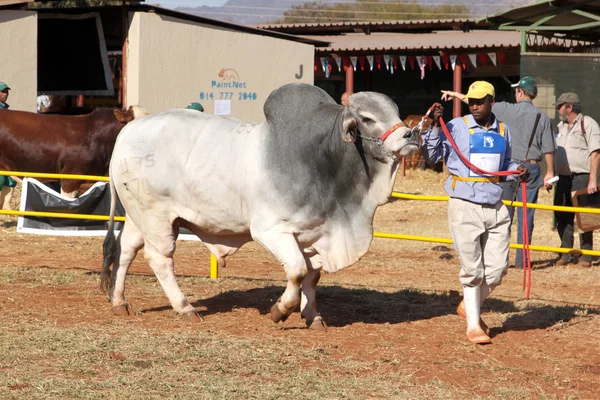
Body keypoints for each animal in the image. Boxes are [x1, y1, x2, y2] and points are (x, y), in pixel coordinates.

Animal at [101, 83, 420, 330]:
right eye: (367, 118)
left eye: (395, 111)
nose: (410, 135)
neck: (320, 161)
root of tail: (130, 129)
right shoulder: (271, 231)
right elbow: (296, 271)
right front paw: (281, 310)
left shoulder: (316, 233)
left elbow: (312, 277)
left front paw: (313, 316)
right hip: (157, 217)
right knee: (159, 258)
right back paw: (185, 307)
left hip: (138, 216)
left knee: (126, 249)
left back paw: (119, 302)